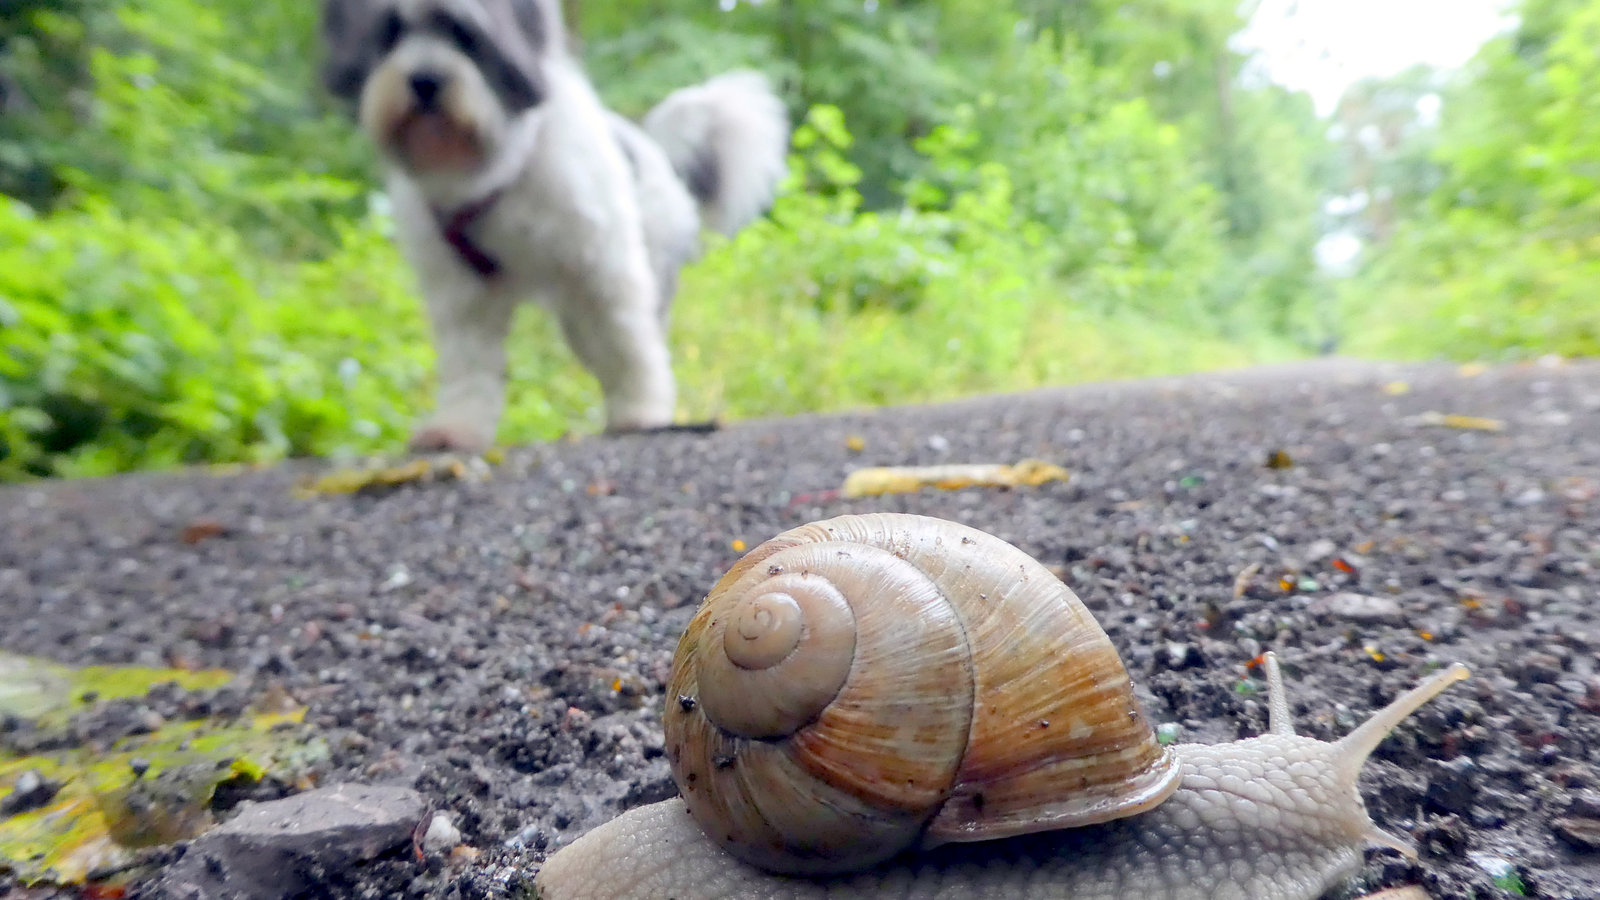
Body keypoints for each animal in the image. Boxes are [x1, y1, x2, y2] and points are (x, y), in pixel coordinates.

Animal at [318, 0, 787, 448]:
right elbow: (468, 362)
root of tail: (656, 153)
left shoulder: (602, 270)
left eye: (465, 34)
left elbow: (628, 345)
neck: (493, 172)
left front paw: (640, 413)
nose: (425, 80)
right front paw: (457, 428)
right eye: (391, 32)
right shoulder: (462, 291)